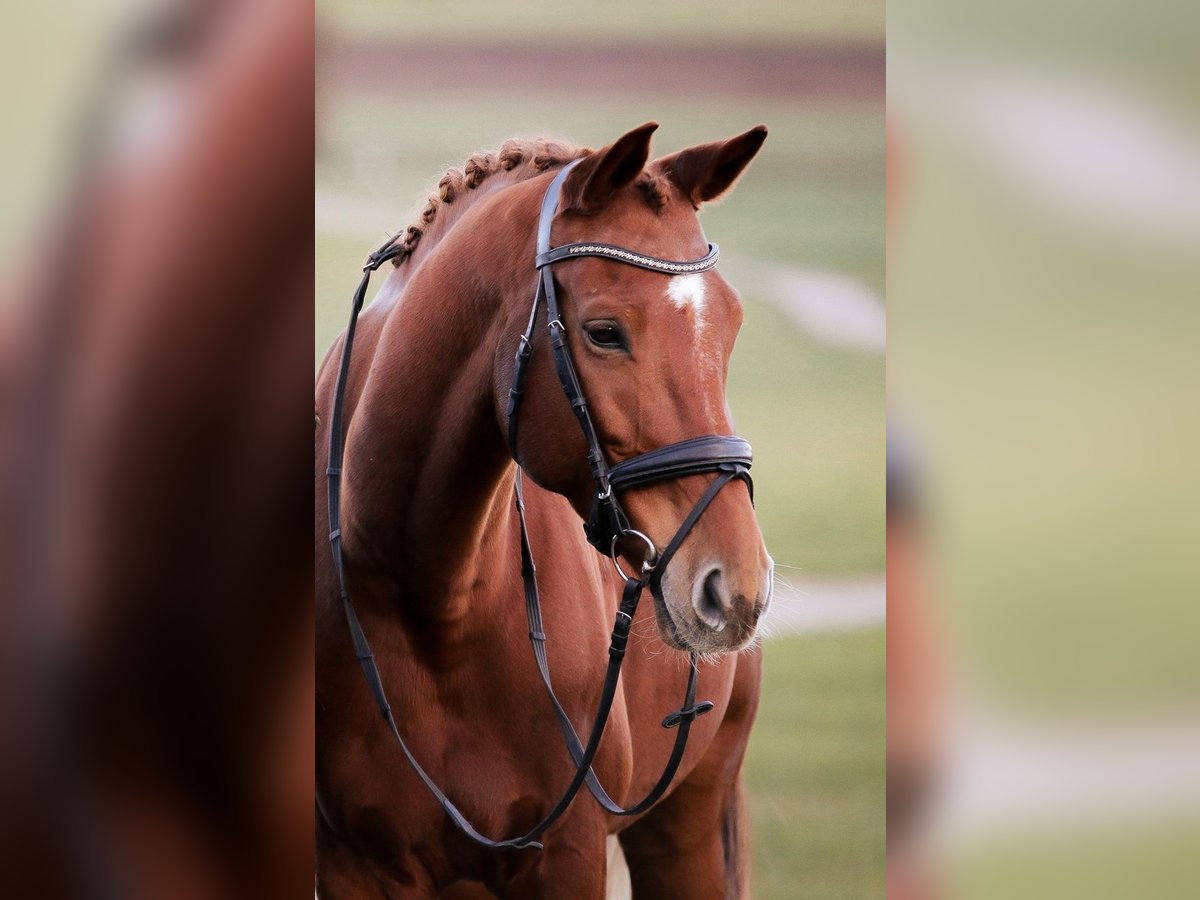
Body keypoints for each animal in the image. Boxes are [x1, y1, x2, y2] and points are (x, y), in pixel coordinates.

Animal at [314, 121, 772, 900]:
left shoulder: (568, 852)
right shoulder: (355, 865)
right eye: (605, 331)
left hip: (689, 822)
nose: (736, 586)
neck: (434, 603)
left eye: (733, 326)